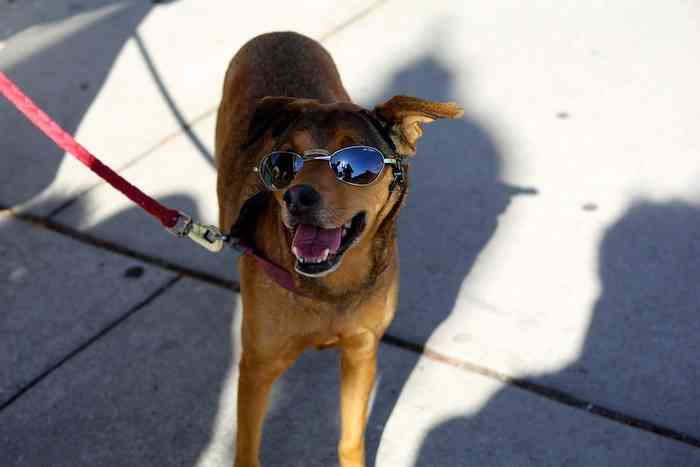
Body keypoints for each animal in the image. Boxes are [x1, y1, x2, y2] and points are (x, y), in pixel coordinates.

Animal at [216, 31, 462, 466]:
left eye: (357, 164)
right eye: (283, 163)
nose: (297, 198)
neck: (330, 287)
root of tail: (278, 33)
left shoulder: (362, 350)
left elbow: (350, 438)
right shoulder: (258, 367)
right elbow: (246, 448)